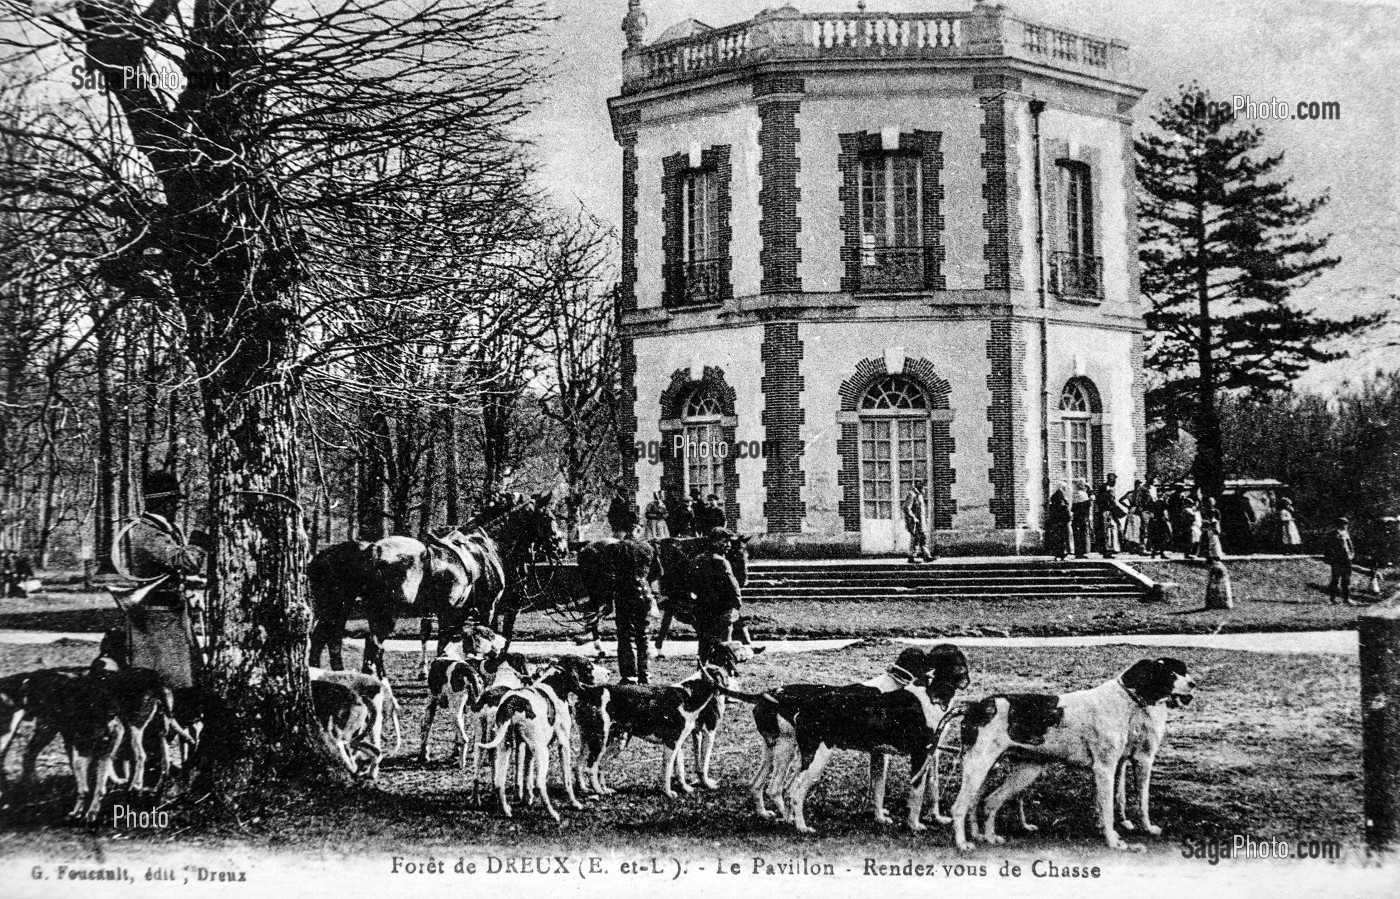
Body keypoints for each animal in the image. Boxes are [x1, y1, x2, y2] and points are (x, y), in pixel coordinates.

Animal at [940, 649, 1192, 845]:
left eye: (1182, 670)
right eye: (1169, 674)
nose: (1193, 684)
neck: (1124, 700)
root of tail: (974, 707)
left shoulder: (1116, 766)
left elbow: (1120, 804)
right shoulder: (1106, 768)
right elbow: (1112, 808)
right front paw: (1113, 841)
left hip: (1022, 772)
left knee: (987, 802)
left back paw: (988, 837)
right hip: (978, 767)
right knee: (960, 807)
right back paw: (963, 844)